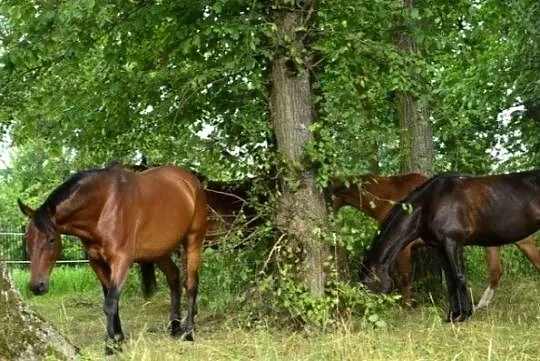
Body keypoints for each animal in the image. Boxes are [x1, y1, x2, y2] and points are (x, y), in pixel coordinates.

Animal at [16, 163, 207, 352]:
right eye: (26, 238)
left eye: (51, 239)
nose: (36, 286)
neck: (105, 205)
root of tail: (191, 181)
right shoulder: (97, 262)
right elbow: (110, 298)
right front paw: (118, 338)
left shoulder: (121, 261)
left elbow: (110, 303)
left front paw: (110, 346)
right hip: (159, 251)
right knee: (174, 277)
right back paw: (175, 328)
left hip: (193, 242)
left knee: (191, 284)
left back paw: (188, 332)